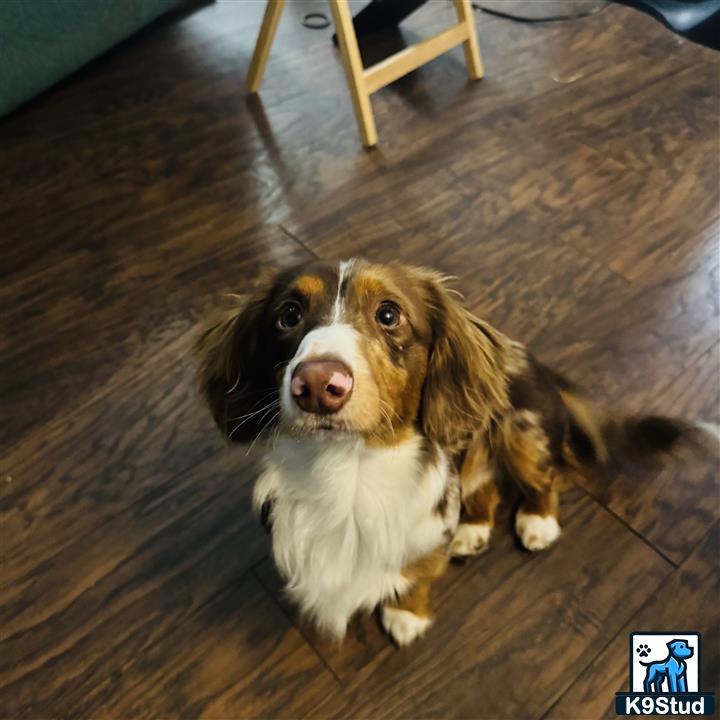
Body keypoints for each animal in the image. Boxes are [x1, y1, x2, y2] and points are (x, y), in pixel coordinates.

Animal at [195, 258, 716, 648]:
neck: (349, 470)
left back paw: (537, 522)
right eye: (288, 315)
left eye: (389, 314)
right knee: (484, 490)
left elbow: (417, 573)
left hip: (517, 426)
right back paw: (473, 531)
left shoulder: (426, 531)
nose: (319, 385)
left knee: (543, 479)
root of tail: (543, 368)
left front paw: (406, 616)